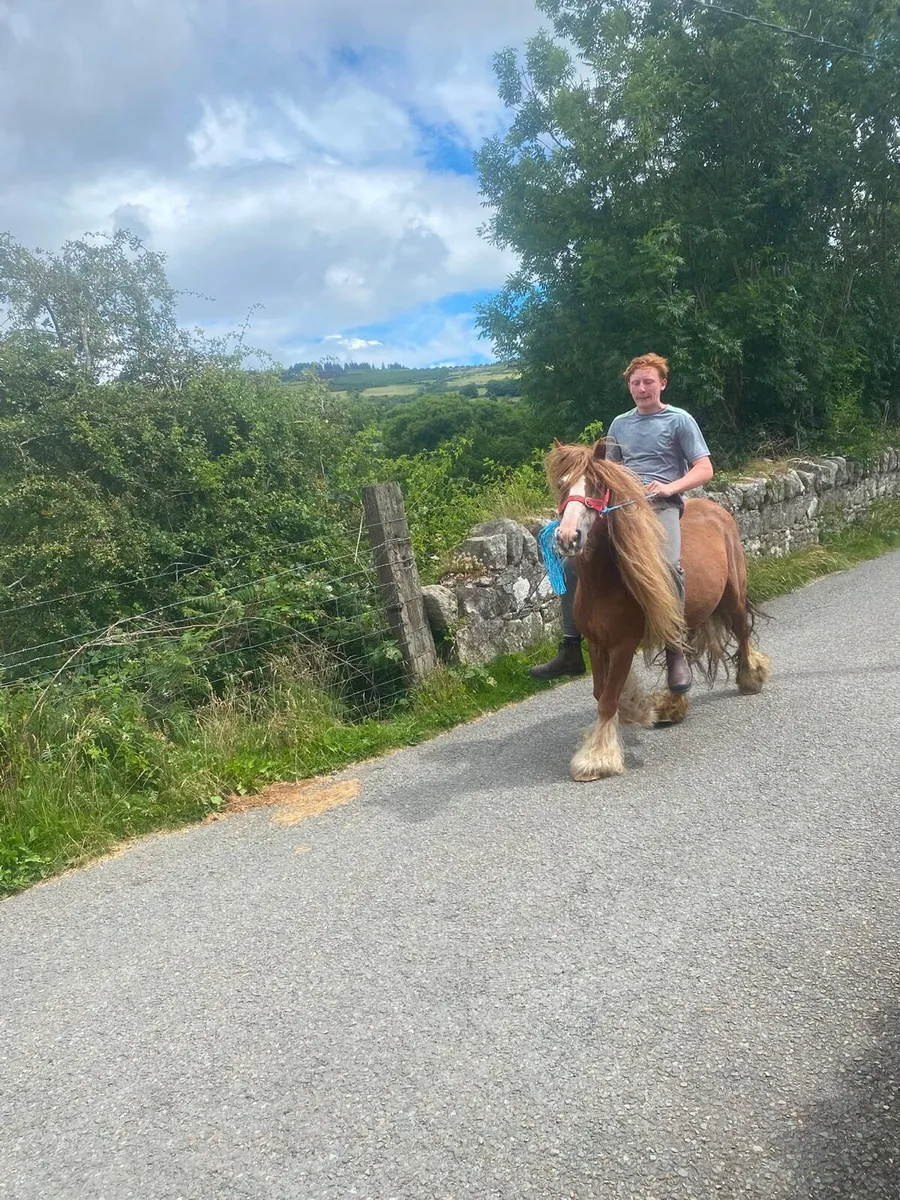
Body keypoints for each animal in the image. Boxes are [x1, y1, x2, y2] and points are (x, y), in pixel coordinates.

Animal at [546, 438, 770, 781]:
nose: (568, 537)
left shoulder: (623, 645)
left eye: (598, 486)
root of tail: (718, 511)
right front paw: (630, 710)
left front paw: (597, 758)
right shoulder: (596, 644)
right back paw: (674, 701)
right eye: (562, 484)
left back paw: (749, 678)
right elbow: (601, 693)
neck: (604, 581)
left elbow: (607, 699)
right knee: (680, 650)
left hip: (733, 595)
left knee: (742, 633)